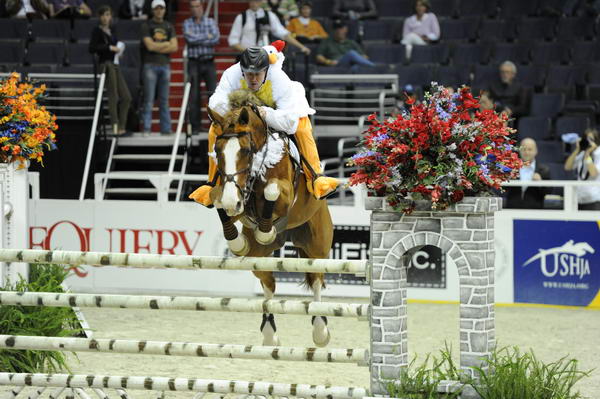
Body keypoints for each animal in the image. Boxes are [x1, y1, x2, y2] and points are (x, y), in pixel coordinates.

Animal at [204, 92, 330, 348]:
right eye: (217, 151)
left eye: (245, 151)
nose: (233, 201)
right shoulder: (234, 197)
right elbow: (218, 198)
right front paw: (237, 240)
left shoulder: (284, 194)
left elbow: (271, 190)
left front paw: (265, 231)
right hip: (258, 257)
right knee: (269, 283)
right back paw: (270, 334)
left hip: (317, 246)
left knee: (316, 279)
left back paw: (320, 331)